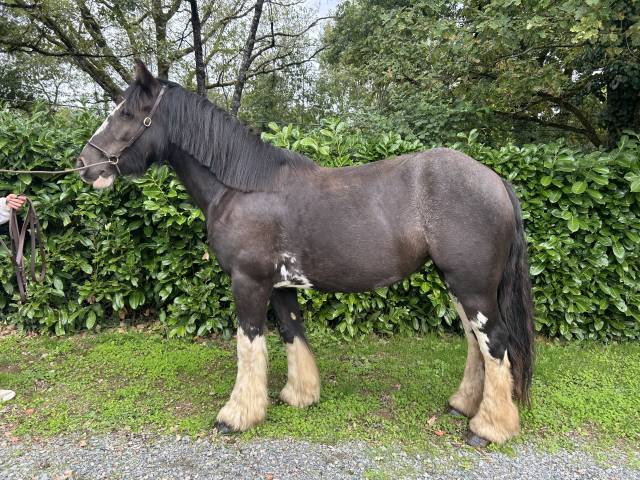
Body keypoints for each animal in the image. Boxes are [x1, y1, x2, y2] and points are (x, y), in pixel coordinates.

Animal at [76, 60, 534, 447]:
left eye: (126, 113)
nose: (84, 165)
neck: (243, 188)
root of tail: (495, 180)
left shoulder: (248, 282)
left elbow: (249, 344)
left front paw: (236, 415)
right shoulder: (280, 285)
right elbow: (292, 332)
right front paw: (299, 395)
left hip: (472, 286)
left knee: (494, 341)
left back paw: (488, 428)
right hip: (457, 284)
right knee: (476, 341)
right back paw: (463, 405)